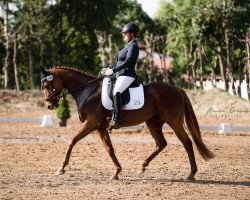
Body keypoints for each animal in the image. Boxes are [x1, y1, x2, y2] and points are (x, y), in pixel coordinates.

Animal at [40, 66, 214, 181]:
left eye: (47, 85)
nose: (49, 105)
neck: (87, 91)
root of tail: (177, 89)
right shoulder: (100, 127)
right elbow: (109, 149)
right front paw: (117, 172)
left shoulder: (91, 124)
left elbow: (72, 141)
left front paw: (61, 168)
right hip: (153, 122)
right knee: (161, 143)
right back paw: (142, 166)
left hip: (174, 122)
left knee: (187, 142)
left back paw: (191, 174)